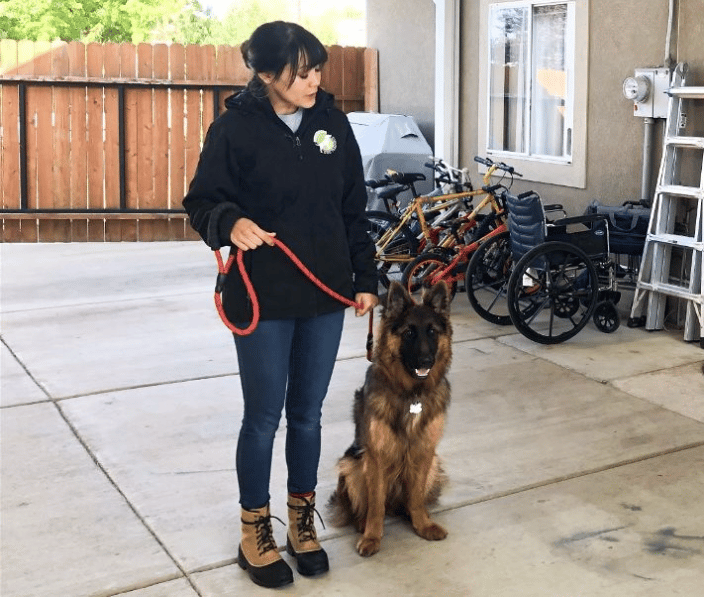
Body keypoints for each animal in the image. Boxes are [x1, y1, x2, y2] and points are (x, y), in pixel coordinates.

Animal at [328, 280, 452, 557]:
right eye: (409, 333)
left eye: (432, 332)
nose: (426, 360)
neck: (411, 393)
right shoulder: (376, 457)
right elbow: (376, 504)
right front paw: (372, 536)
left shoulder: (424, 452)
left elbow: (416, 496)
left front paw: (422, 524)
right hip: (352, 465)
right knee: (363, 507)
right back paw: (362, 524)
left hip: (434, 464)